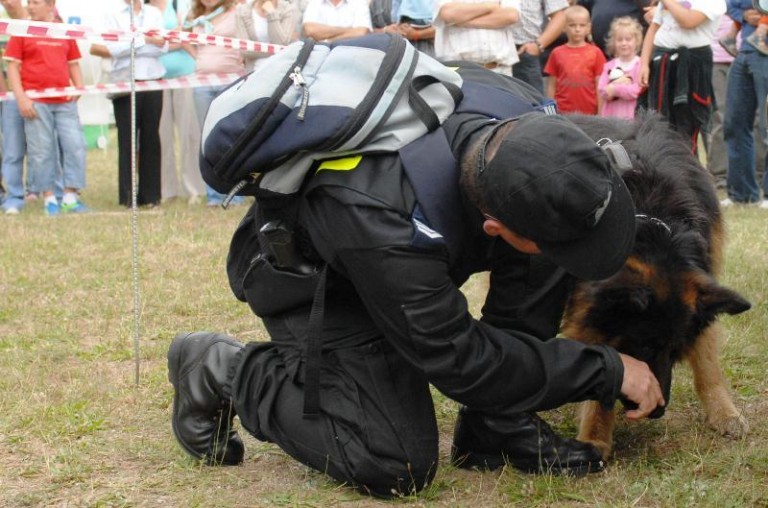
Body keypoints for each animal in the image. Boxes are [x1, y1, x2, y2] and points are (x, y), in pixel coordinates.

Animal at [560, 114, 752, 460]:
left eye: (676, 351)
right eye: (646, 346)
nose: (658, 412)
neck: (649, 222)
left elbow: (706, 362)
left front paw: (724, 412)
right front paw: (595, 437)